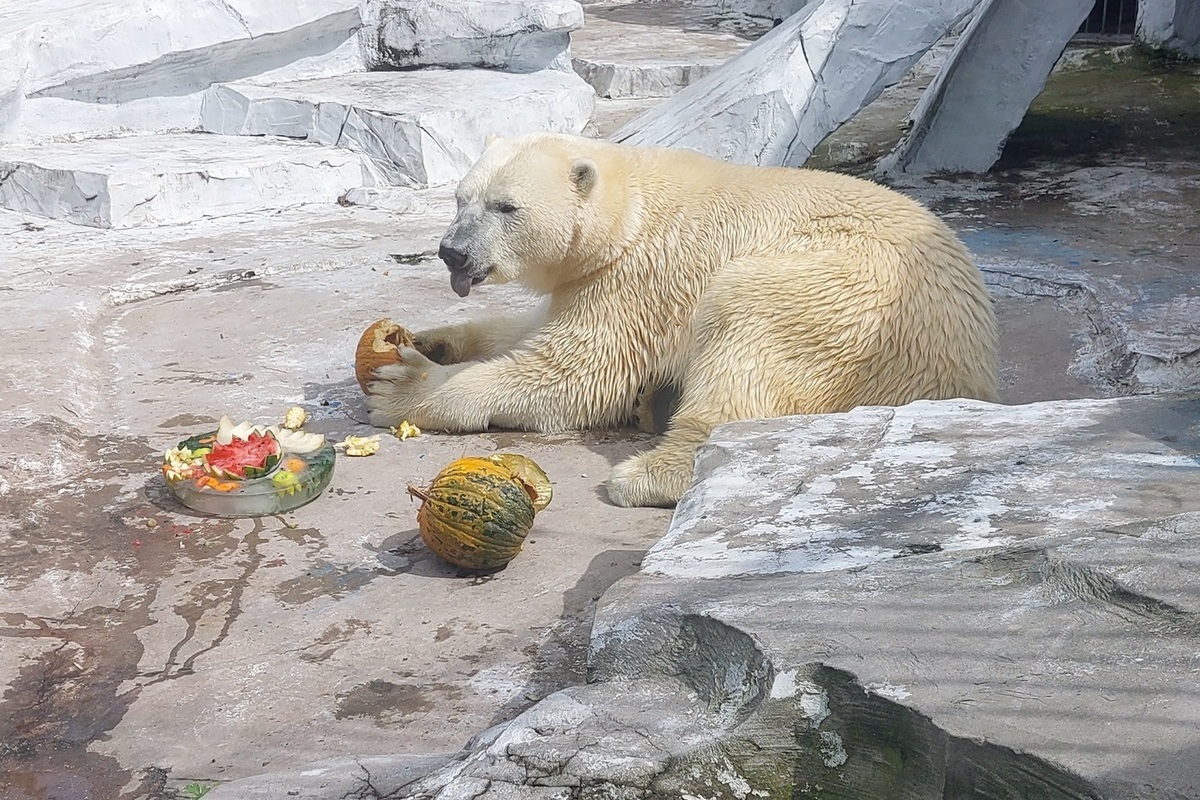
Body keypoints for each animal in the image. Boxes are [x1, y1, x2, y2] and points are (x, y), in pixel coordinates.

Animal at [367, 131, 1003, 506]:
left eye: (506, 207)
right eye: (459, 200)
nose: (452, 252)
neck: (626, 209)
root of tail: (970, 372)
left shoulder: (642, 276)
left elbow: (576, 369)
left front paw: (401, 386)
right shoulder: (589, 277)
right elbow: (529, 329)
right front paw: (431, 340)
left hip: (845, 298)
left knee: (744, 331)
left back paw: (645, 473)